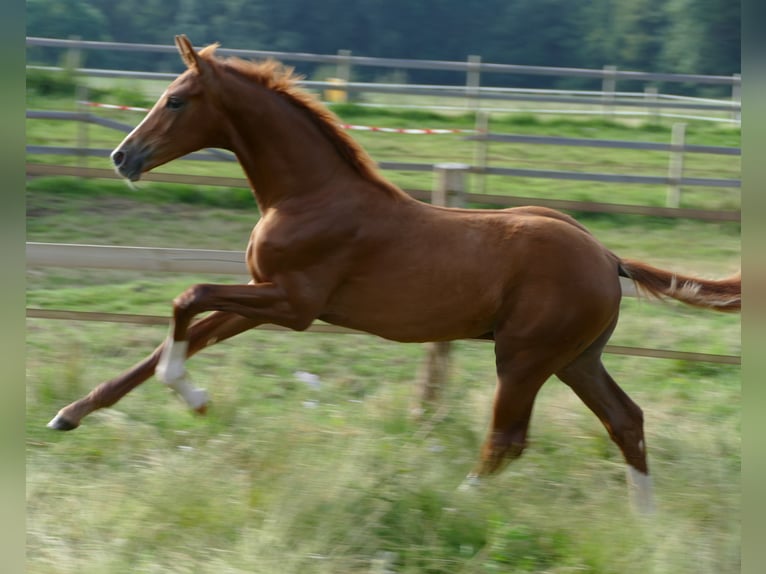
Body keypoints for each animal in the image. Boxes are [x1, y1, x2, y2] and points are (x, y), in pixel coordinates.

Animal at [45, 36, 740, 512]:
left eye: (176, 99)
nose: (122, 156)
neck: (311, 195)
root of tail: (606, 256)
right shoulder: (265, 300)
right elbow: (175, 337)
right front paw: (70, 414)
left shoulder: (293, 305)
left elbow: (185, 298)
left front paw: (192, 396)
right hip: (577, 358)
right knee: (626, 420)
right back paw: (645, 523)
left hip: (524, 356)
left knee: (508, 438)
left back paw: (457, 501)